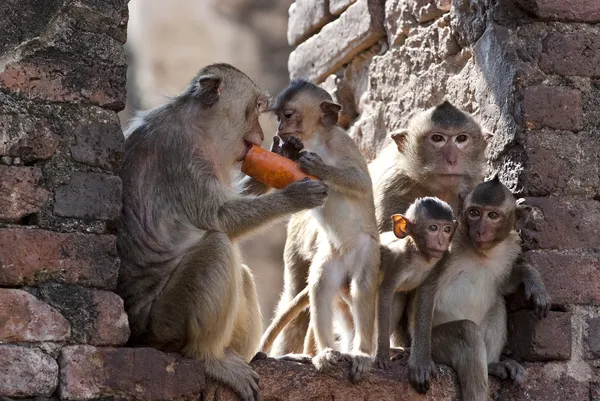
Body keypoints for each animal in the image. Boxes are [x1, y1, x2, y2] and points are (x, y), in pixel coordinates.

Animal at [115, 63, 330, 400]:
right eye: (255, 108)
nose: (260, 136)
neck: (197, 125)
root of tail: (139, 337)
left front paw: (286, 155)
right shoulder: (184, 158)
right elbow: (220, 218)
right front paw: (295, 197)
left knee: (239, 272)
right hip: (164, 326)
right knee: (216, 246)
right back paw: (211, 359)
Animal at [268, 79, 380, 382]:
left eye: (289, 115)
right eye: (278, 116)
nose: (279, 129)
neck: (317, 139)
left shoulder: (343, 143)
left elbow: (361, 182)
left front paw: (320, 167)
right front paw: (285, 150)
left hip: (366, 253)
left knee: (363, 288)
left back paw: (362, 353)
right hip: (330, 258)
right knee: (320, 287)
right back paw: (326, 353)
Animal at [376, 195, 460, 368]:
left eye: (447, 229)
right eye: (433, 228)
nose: (441, 242)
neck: (418, 256)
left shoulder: (437, 264)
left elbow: (424, 299)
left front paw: (421, 361)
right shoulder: (396, 262)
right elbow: (385, 294)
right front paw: (381, 353)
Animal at [406, 177, 552, 398]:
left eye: (493, 215)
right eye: (474, 212)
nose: (480, 230)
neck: (482, 253)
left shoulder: (510, 248)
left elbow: (505, 285)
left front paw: (533, 280)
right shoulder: (447, 246)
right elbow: (426, 288)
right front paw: (421, 361)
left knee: (498, 303)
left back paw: (492, 364)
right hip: (437, 344)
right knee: (467, 333)